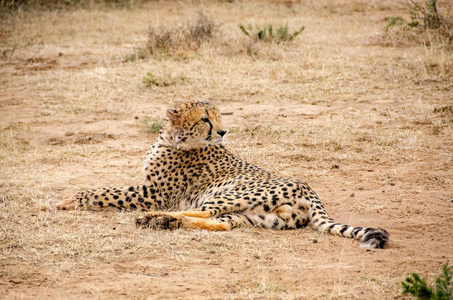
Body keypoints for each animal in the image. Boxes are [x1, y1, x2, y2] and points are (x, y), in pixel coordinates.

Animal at [58, 101, 386, 248]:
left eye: (217, 117)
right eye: (205, 119)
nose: (224, 131)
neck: (171, 139)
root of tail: (308, 188)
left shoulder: (155, 195)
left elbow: (105, 192)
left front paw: (70, 200)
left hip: (229, 195)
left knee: (203, 212)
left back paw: (156, 219)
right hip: (258, 216)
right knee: (220, 223)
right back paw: (164, 222)